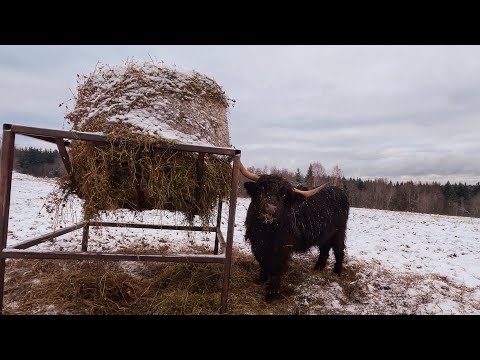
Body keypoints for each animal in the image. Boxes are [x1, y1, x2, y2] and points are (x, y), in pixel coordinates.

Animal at [240, 165, 348, 300]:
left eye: (284, 194)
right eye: (261, 188)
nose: (270, 208)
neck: (266, 230)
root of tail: (340, 192)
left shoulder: (283, 247)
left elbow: (277, 268)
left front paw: (272, 293)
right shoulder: (257, 244)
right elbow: (262, 261)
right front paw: (261, 280)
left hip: (338, 233)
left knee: (339, 251)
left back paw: (336, 272)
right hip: (324, 235)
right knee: (325, 250)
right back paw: (317, 268)